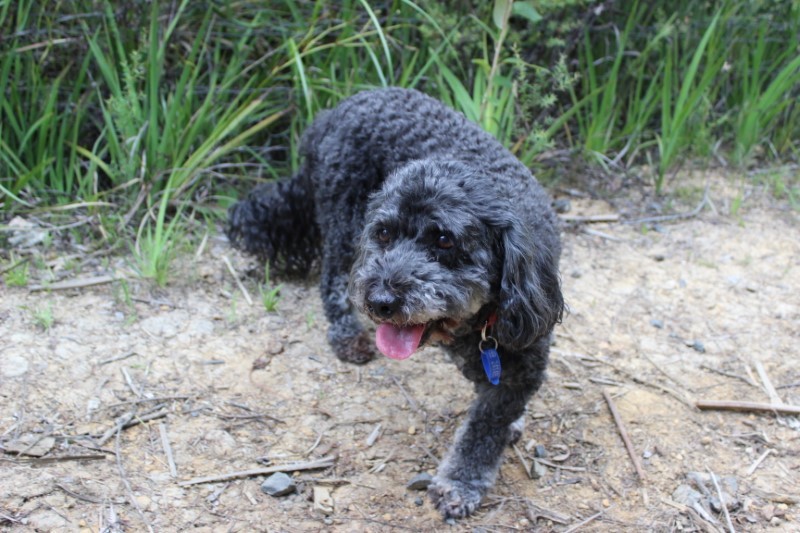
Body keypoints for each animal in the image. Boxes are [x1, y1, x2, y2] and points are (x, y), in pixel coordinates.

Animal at [227, 87, 564, 519]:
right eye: (384, 234)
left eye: (444, 240)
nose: (381, 301)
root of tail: (339, 109)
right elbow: (481, 435)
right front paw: (460, 484)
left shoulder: (521, 361)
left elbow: (489, 422)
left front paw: (502, 436)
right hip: (344, 217)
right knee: (333, 279)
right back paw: (347, 336)